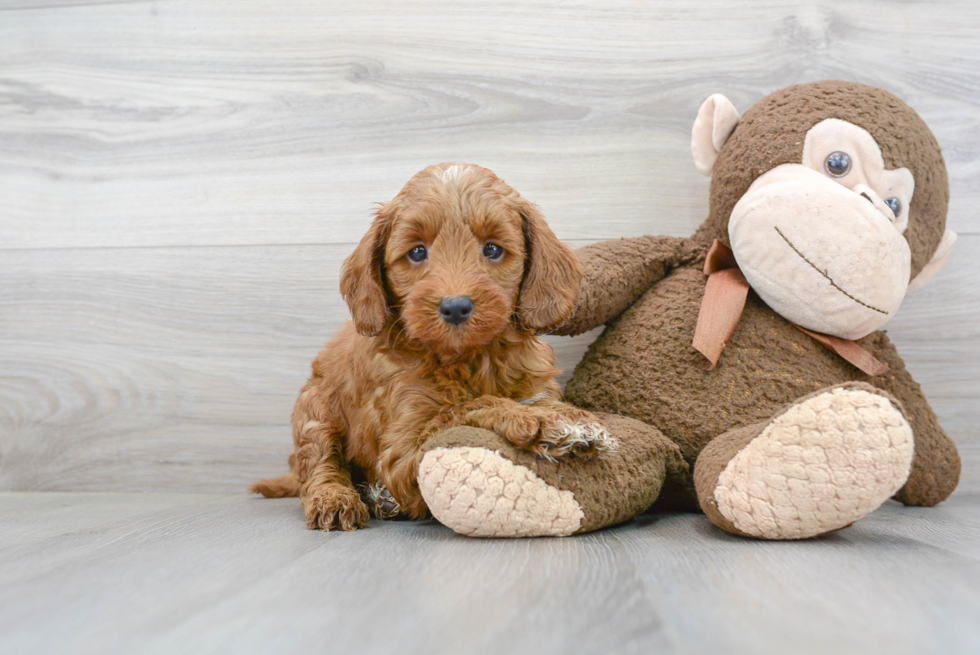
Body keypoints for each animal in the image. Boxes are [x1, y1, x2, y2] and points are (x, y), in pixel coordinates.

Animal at [251, 165, 612, 532]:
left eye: (493, 249)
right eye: (417, 252)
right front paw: (535, 418)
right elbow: (466, 407)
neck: (470, 358)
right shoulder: (400, 448)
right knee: (320, 461)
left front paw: (566, 413)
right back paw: (338, 498)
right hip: (314, 409)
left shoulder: (535, 384)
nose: (455, 307)